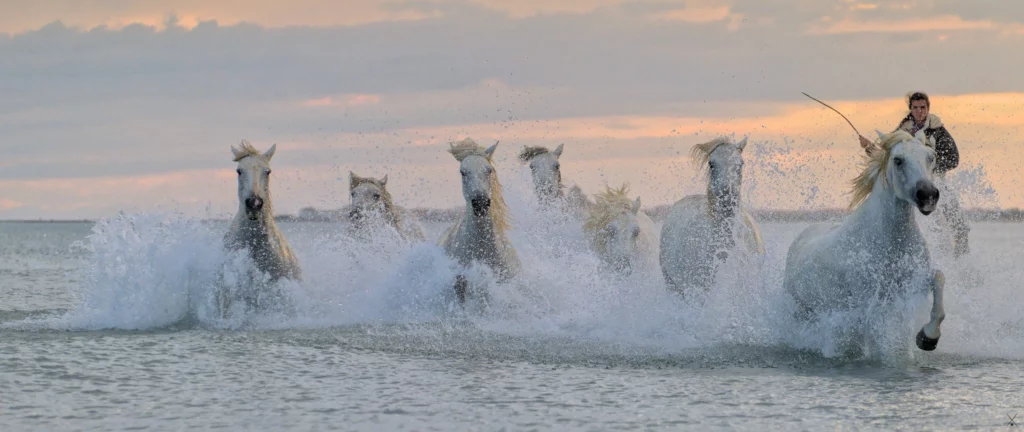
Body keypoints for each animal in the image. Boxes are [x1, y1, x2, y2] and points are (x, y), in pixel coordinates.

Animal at [783, 129, 946, 354]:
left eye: (932, 157)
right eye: (898, 160)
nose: (928, 195)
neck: (890, 243)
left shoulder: (914, 283)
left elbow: (939, 279)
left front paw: (928, 337)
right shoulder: (872, 299)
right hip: (801, 311)